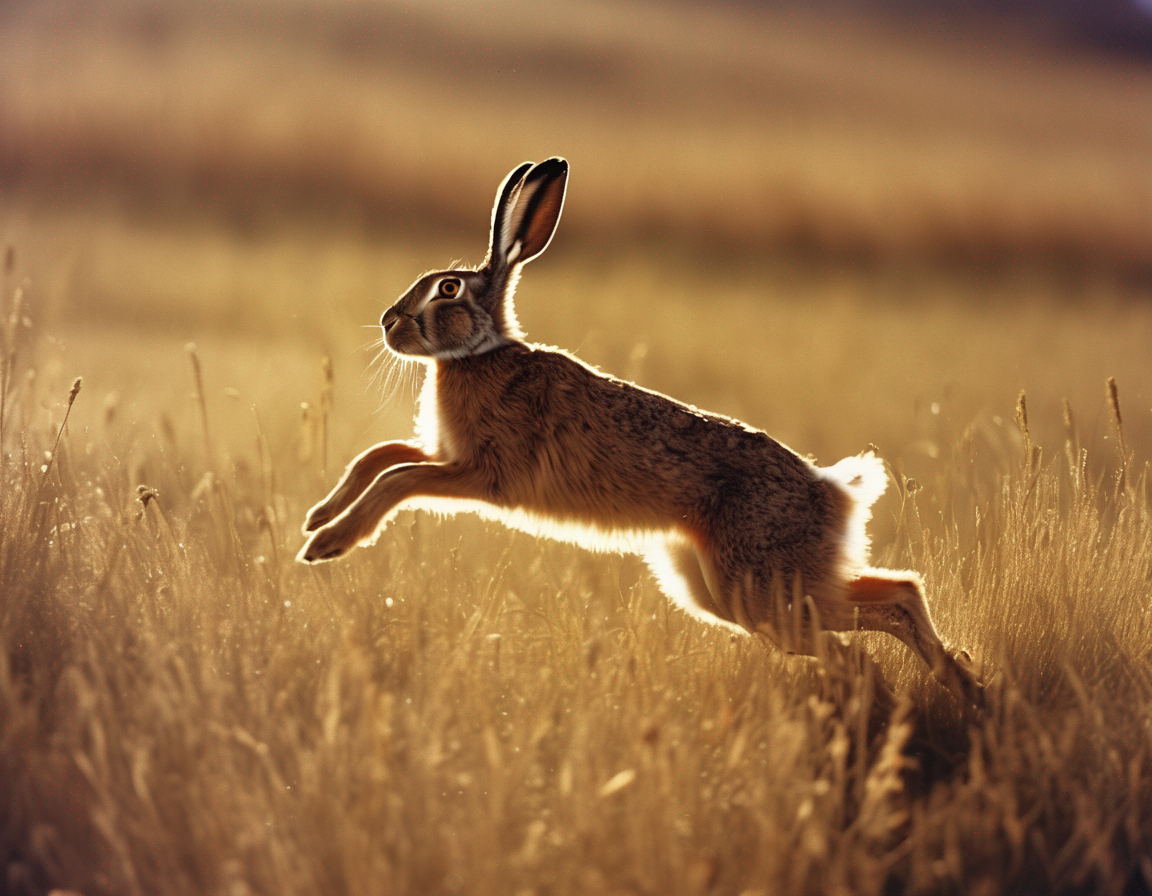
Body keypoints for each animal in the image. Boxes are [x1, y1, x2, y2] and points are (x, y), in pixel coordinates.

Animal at [298, 157, 984, 707]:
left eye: (447, 289)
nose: (388, 323)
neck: (478, 354)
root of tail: (836, 492)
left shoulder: (479, 473)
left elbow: (399, 479)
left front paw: (329, 543)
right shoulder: (443, 453)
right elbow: (378, 456)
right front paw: (317, 516)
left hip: (757, 591)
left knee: (865, 634)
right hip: (737, 589)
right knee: (896, 596)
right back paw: (963, 683)